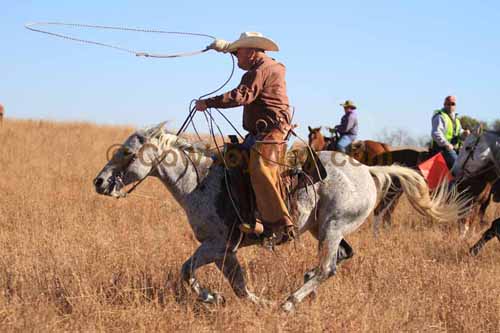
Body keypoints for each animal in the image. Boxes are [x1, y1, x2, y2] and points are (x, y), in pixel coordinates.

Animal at [95, 122, 466, 312]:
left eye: (126, 152)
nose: (99, 182)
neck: (199, 180)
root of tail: (369, 171)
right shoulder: (226, 251)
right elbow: (240, 286)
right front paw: (250, 302)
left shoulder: (215, 245)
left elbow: (187, 271)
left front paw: (212, 298)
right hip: (325, 229)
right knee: (341, 257)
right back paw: (303, 286)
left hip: (332, 227)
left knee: (328, 266)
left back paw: (291, 302)